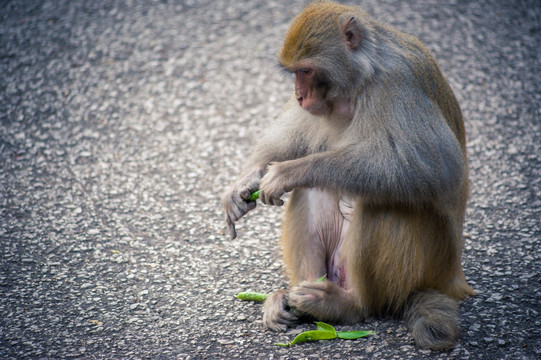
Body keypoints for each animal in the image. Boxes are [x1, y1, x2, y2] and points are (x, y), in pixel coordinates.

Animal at [219, 0, 472, 348]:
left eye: (306, 71)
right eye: (294, 73)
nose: (299, 95)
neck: (359, 80)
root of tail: (449, 281)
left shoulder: (398, 84)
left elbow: (436, 168)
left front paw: (289, 172)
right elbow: (294, 135)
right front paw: (246, 182)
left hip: (429, 263)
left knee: (385, 204)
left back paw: (347, 305)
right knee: (314, 192)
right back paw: (294, 301)